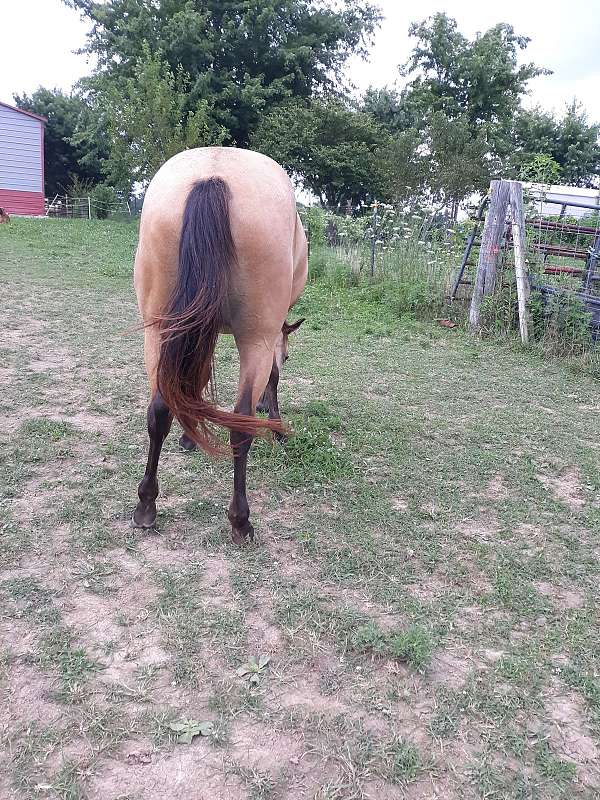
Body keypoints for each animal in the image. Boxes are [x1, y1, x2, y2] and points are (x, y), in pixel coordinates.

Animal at [132, 147, 310, 540]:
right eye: (290, 356)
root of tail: (213, 177)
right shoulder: (269, 337)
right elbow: (273, 377)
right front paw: (274, 422)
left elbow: (191, 380)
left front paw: (188, 437)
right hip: (256, 338)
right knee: (240, 426)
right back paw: (240, 520)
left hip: (158, 328)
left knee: (159, 409)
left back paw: (146, 504)